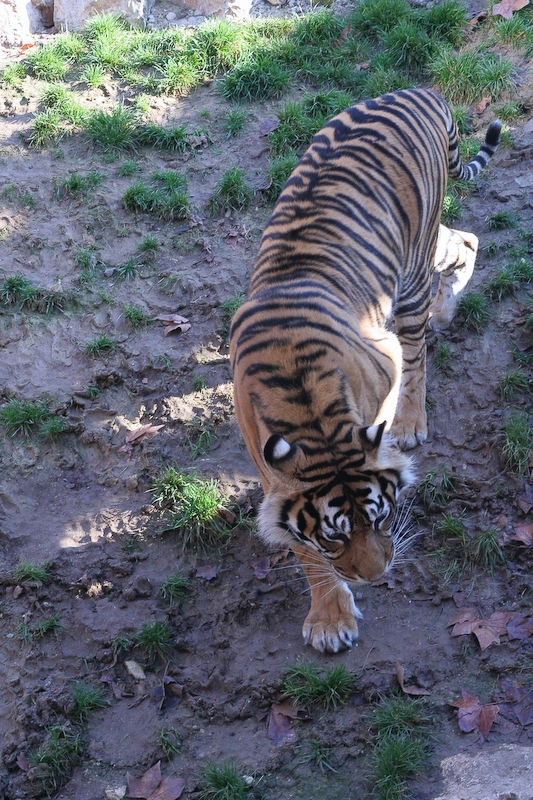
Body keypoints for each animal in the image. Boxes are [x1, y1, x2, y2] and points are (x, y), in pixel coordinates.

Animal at [230, 88, 501, 653]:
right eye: (335, 533)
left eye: (382, 516)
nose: (377, 578)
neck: (311, 415)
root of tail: (424, 91)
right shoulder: (270, 472)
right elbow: (303, 549)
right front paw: (331, 618)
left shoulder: (386, 355)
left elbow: (394, 391)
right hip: (423, 251)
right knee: (464, 239)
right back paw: (448, 307)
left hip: (413, 267)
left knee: (424, 332)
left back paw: (414, 414)